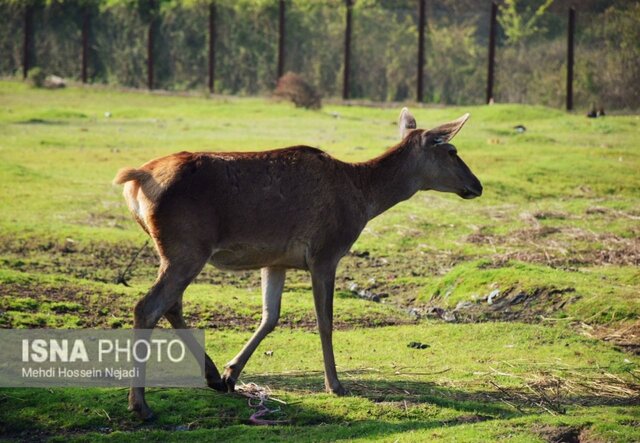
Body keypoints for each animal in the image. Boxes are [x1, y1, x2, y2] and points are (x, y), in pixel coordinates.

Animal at [112, 107, 482, 420]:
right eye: (452, 151)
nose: (477, 185)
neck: (363, 199)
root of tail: (138, 179)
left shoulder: (275, 261)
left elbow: (270, 317)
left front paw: (232, 373)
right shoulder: (326, 253)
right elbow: (324, 321)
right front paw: (335, 385)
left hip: (174, 250)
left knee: (171, 306)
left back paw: (212, 376)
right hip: (186, 246)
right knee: (148, 307)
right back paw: (140, 404)